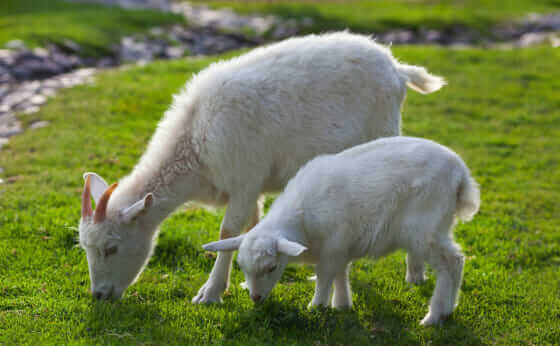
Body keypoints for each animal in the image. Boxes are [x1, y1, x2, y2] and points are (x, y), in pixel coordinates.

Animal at [79, 32, 446, 302]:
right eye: (85, 248)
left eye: (111, 248)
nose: (99, 295)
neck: (194, 142)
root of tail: (398, 69)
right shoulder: (251, 187)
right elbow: (251, 225)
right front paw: (244, 280)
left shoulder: (243, 179)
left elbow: (227, 231)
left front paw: (210, 292)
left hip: (385, 133)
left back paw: (415, 273)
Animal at [203, 137, 480, 326]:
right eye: (242, 268)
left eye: (272, 268)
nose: (256, 298)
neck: (301, 219)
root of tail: (460, 174)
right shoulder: (340, 246)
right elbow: (340, 274)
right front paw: (342, 305)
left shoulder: (333, 244)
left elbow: (325, 275)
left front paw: (317, 306)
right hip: (440, 224)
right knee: (455, 261)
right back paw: (448, 310)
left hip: (424, 227)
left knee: (452, 262)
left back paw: (434, 316)